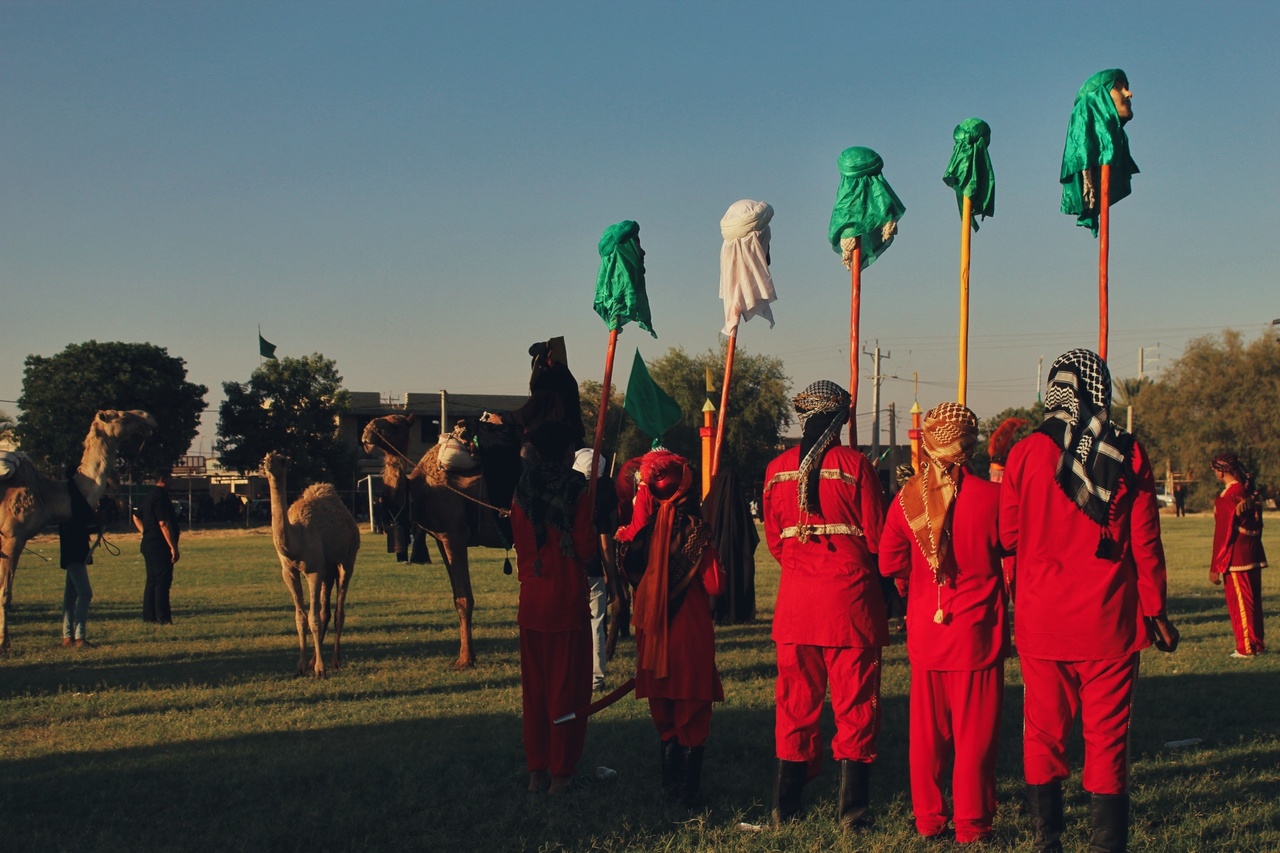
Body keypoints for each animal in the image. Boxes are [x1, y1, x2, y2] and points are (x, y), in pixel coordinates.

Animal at [0, 409, 156, 648]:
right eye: (122, 416)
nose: (147, 417)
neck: (49, 494)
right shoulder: (13, 536)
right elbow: (5, 593)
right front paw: (4, 643)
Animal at [259, 448, 360, 676]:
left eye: (283, 460)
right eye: (264, 458)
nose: (268, 465)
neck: (297, 540)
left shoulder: (314, 570)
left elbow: (313, 618)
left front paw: (320, 670)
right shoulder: (289, 571)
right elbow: (300, 618)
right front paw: (301, 666)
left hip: (347, 560)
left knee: (338, 612)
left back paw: (334, 662)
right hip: (328, 568)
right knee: (326, 611)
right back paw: (315, 660)